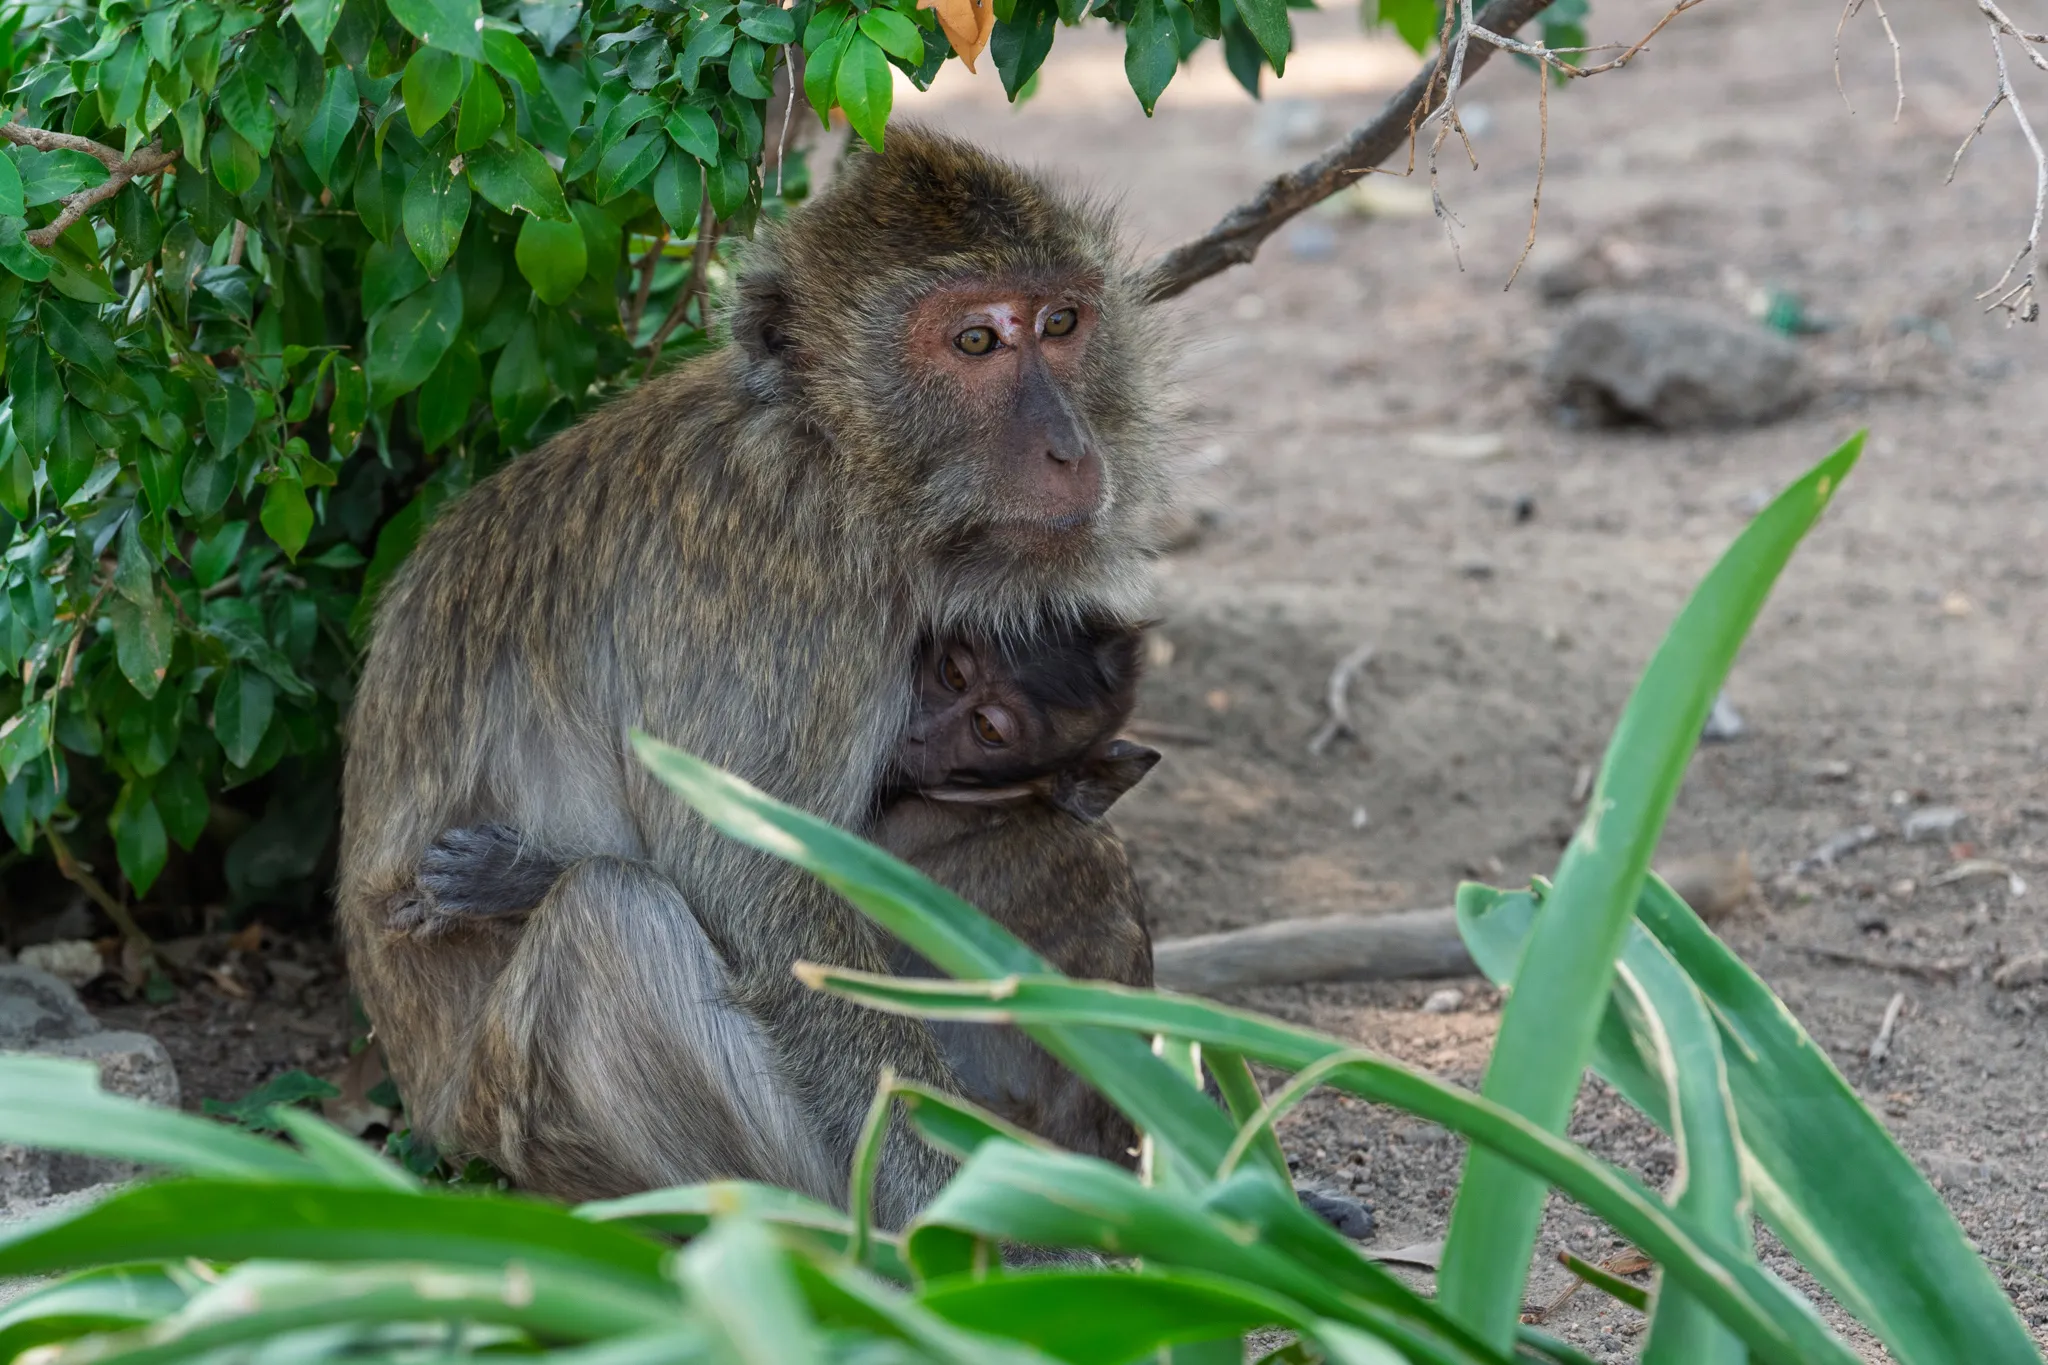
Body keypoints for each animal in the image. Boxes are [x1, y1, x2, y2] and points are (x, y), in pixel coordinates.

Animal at [335, 126, 1176, 1222]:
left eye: (1062, 323)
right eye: (975, 343)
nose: (1069, 448)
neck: (827, 453)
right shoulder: (784, 590)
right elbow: (772, 900)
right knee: (615, 920)